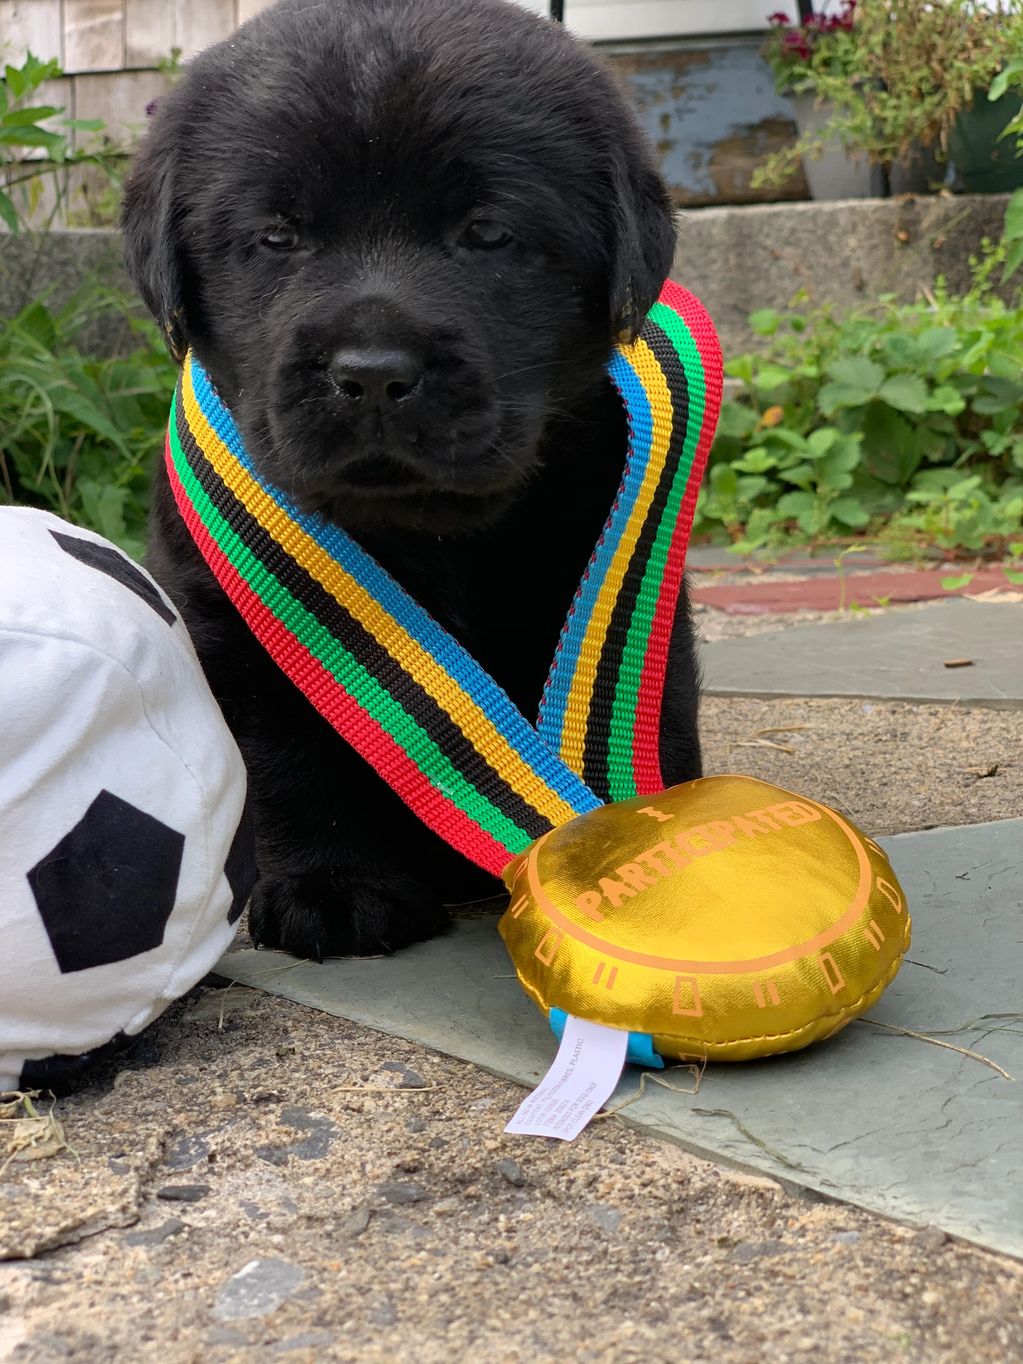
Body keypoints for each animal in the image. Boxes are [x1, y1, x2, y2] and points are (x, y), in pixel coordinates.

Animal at [124, 0, 703, 960]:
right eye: (277, 236)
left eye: (487, 233)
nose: (371, 373)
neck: (426, 533)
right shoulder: (230, 615)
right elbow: (288, 752)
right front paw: (331, 886)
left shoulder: (626, 569)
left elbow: (651, 709)